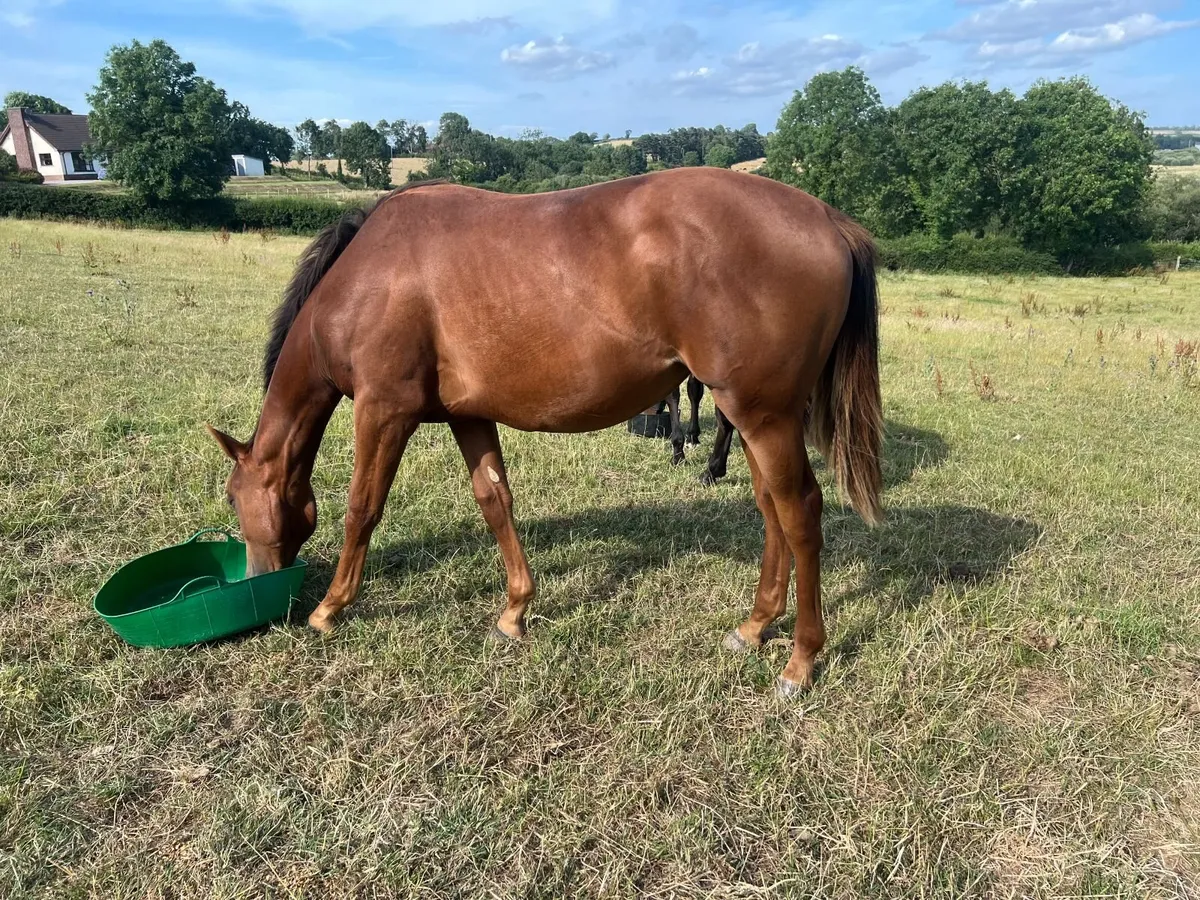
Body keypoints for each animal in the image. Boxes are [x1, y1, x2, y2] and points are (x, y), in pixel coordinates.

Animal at [207, 168, 883, 696]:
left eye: (235, 500)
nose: (259, 585)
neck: (369, 276)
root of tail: (827, 220)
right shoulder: (468, 414)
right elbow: (495, 501)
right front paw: (515, 611)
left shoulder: (383, 409)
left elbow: (362, 507)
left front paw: (330, 607)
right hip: (750, 417)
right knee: (772, 510)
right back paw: (755, 626)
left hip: (764, 416)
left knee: (800, 512)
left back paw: (800, 660)